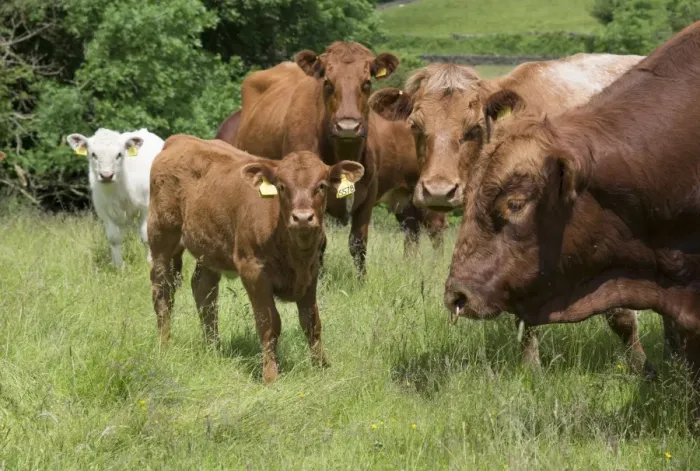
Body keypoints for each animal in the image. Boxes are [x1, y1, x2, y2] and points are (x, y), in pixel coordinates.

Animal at [66, 128, 164, 268]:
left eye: (119, 154)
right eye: (93, 154)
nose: (106, 175)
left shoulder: (146, 208)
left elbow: (146, 235)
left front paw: (151, 262)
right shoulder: (105, 212)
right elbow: (114, 238)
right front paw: (119, 266)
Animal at [147, 135, 364, 383]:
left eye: (322, 185)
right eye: (281, 186)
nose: (302, 218)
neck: (294, 252)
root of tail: (179, 139)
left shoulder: (311, 272)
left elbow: (311, 322)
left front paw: (322, 367)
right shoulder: (253, 271)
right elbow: (269, 324)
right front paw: (270, 375)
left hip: (209, 247)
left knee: (204, 291)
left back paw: (214, 348)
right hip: (162, 238)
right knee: (163, 292)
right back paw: (165, 345)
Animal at [234, 42, 401, 276]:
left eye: (367, 83)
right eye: (328, 83)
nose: (347, 126)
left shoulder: (368, 195)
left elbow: (359, 244)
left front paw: (361, 280)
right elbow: (319, 243)